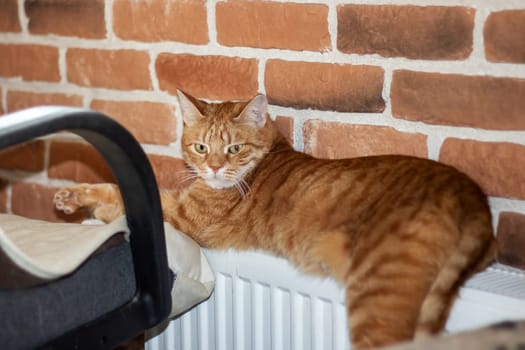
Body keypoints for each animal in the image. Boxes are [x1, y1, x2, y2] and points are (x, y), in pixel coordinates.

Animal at [55, 91, 498, 350]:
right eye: (201, 148)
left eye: (233, 149)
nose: (213, 168)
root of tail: (471, 194)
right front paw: (72, 200)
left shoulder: (183, 216)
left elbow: (122, 198)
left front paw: (84, 206)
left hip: (378, 297)